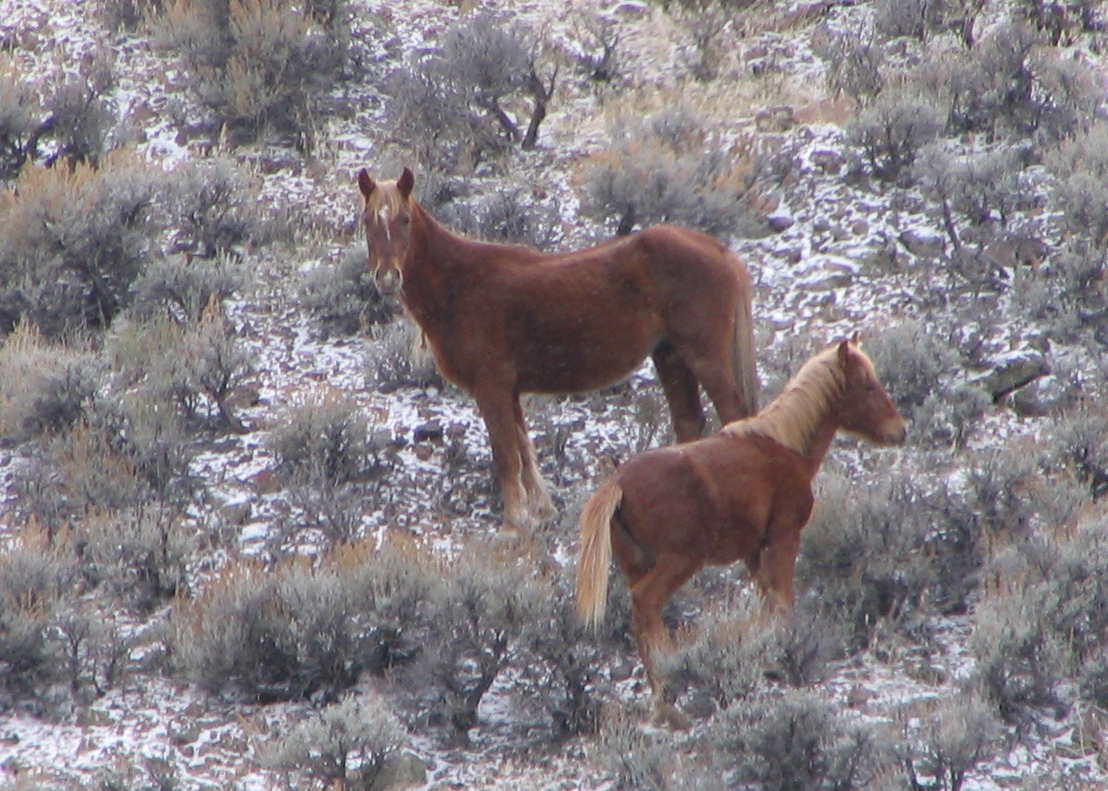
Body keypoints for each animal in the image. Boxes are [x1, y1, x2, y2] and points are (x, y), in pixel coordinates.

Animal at [358, 166, 757, 536]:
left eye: (404, 219)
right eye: (367, 221)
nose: (388, 278)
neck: (460, 284)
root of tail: (718, 249)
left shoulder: (491, 388)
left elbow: (506, 456)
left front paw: (512, 526)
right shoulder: (509, 391)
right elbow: (524, 451)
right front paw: (540, 513)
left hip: (703, 356)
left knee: (733, 415)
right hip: (671, 357)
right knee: (689, 421)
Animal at [576, 336, 904, 717]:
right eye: (867, 386)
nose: (899, 430)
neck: (783, 445)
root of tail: (618, 483)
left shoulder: (753, 552)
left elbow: (768, 601)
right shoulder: (784, 539)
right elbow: (783, 602)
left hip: (637, 565)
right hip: (679, 561)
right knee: (647, 604)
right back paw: (669, 692)